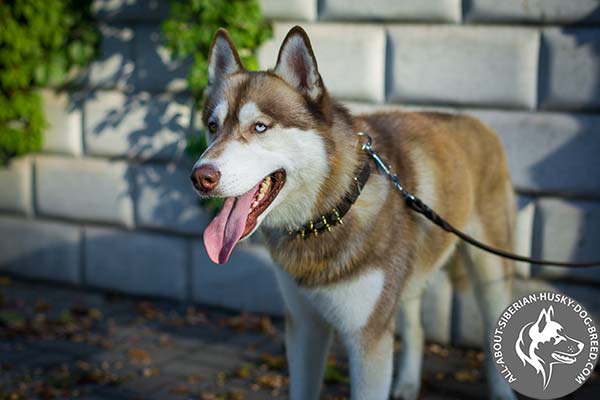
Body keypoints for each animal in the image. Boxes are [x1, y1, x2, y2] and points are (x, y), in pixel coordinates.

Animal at [191, 25, 516, 400]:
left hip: (490, 270)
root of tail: (476, 120)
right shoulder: (304, 325)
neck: (327, 215)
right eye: (212, 127)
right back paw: (407, 383)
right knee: (416, 328)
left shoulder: (367, 339)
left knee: (492, 327)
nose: (200, 177)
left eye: (259, 127)